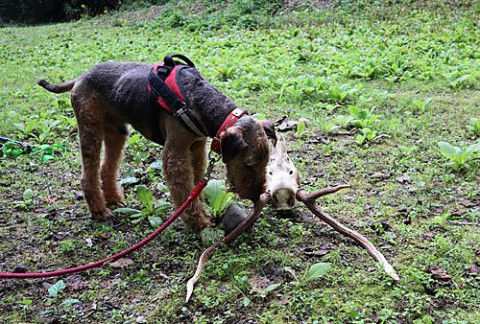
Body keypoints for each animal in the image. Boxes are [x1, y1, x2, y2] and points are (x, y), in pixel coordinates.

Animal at [39, 56, 276, 233]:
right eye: (248, 165)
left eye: (266, 164)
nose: (258, 196)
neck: (199, 101)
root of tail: (80, 77)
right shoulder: (175, 153)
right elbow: (184, 190)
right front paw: (199, 223)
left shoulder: (197, 147)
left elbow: (197, 179)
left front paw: (201, 205)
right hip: (90, 130)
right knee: (88, 174)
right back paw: (100, 211)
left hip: (117, 132)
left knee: (107, 168)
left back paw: (114, 199)